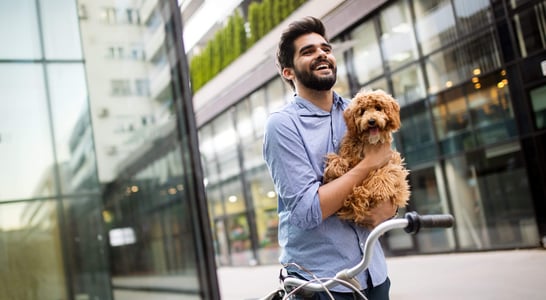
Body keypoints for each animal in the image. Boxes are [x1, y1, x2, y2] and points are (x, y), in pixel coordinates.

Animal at [324, 89, 408, 227]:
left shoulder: (393, 161)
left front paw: (379, 188)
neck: (369, 141)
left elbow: (388, 171)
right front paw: (336, 166)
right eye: (362, 111)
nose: (371, 121)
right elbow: (340, 160)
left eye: (378, 108)